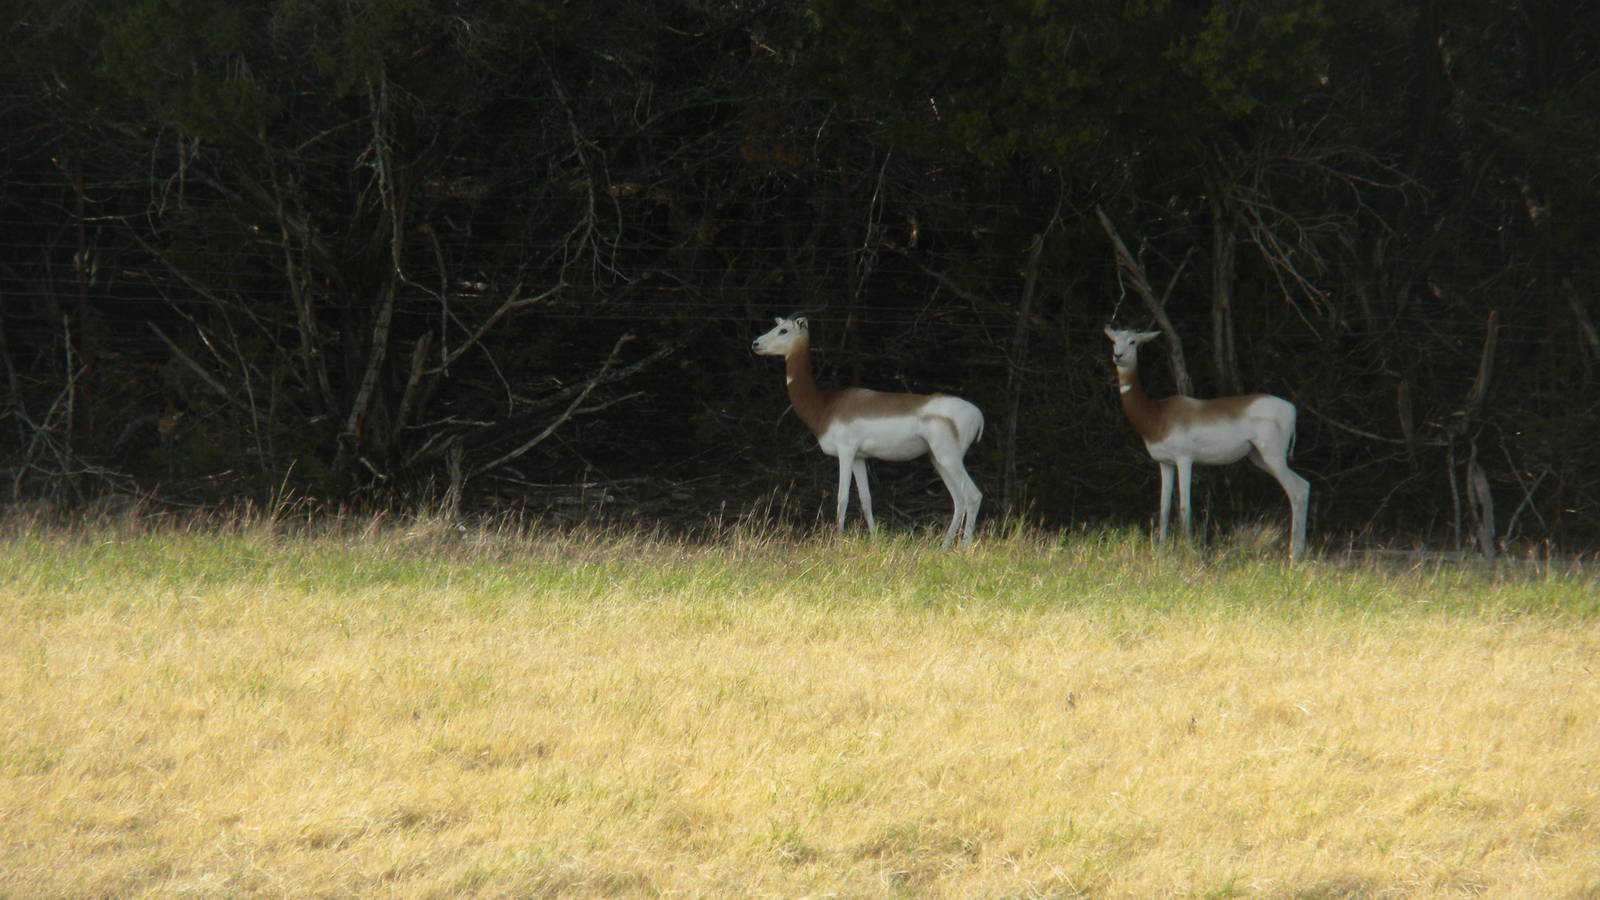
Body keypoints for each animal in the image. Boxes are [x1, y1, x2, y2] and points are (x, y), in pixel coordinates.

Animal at [752, 316, 984, 549]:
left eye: (783, 330)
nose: (755, 343)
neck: (827, 407)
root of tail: (978, 414)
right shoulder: (859, 457)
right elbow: (866, 499)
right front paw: (874, 541)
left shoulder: (845, 452)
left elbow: (842, 498)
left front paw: (838, 543)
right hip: (937, 459)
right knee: (958, 499)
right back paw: (944, 548)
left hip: (949, 458)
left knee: (973, 496)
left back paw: (964, 549)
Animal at [1104, 326, 1309, 560]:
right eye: (1114, 341)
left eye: (1133, 341)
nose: (1117, 355)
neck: (1158, 414)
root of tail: (1292, 409)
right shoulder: (1165, 463)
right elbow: (1164, 508)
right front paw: (1161, 550)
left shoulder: (1184, 460)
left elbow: (1185, 507)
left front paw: (1188, 550)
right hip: (1259, 458)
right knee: (1304, 486)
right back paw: (1297, 553)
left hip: (1273, 457)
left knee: (1296, 491)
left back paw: (1294, 555)